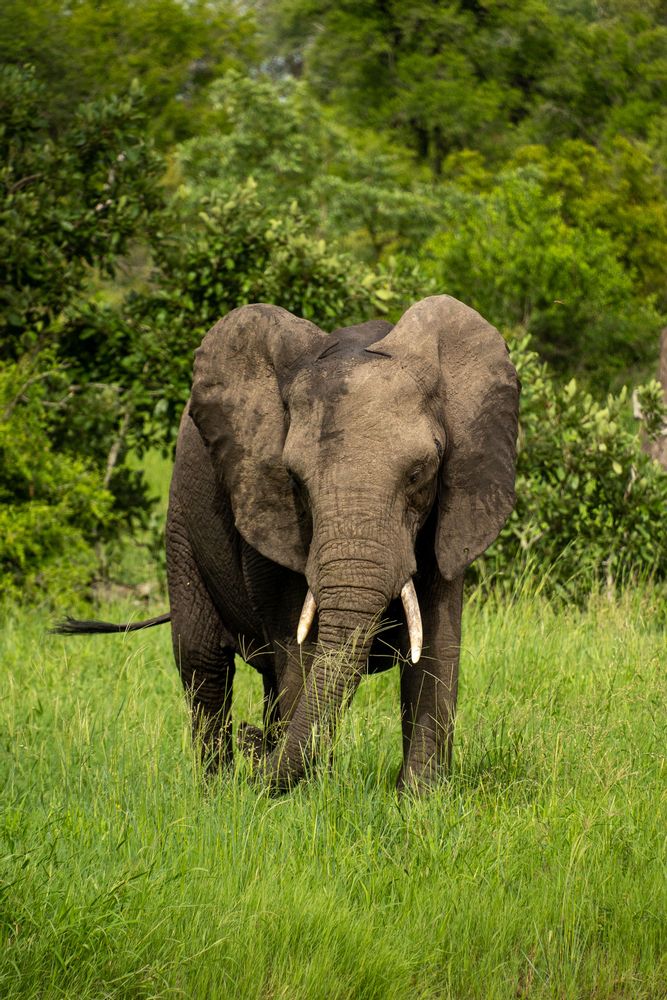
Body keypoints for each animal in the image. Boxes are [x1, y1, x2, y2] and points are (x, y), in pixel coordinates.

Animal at [55, 295, 520, 793]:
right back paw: (218, 788)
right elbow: (300, 650)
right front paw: (308, 798)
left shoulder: (450, 516)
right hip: (180, 526)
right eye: (295, 479)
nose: (253, 742)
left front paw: (419, 798)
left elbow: (436, 645)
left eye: (421, 473)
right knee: (204, 664)